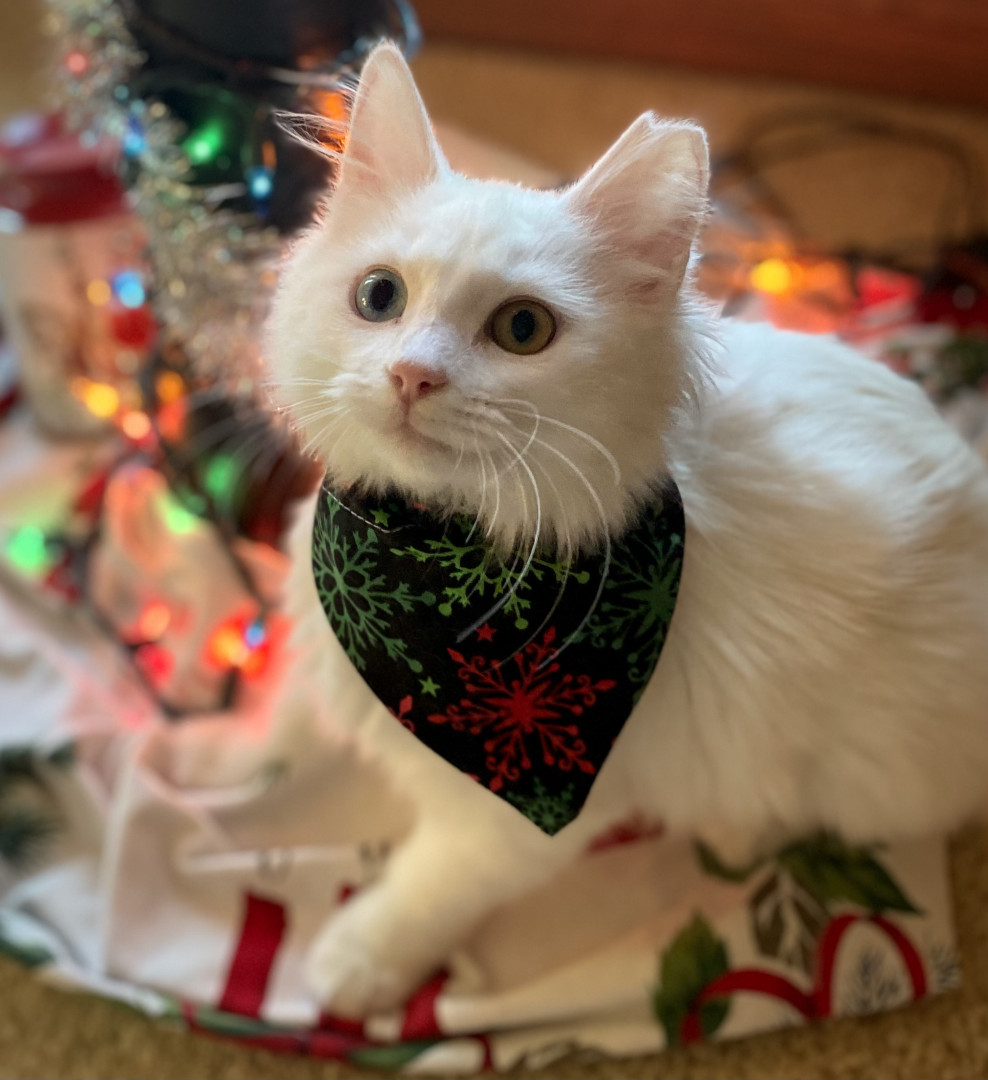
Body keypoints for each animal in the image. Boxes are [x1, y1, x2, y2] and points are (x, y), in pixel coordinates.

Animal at [267, 43, 988, 1017]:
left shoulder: (518, 817)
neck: (430, 560)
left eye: (522, 328)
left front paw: (358, 958)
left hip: (863, 772)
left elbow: (428, 886)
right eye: (379, 297)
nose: (413, 375)